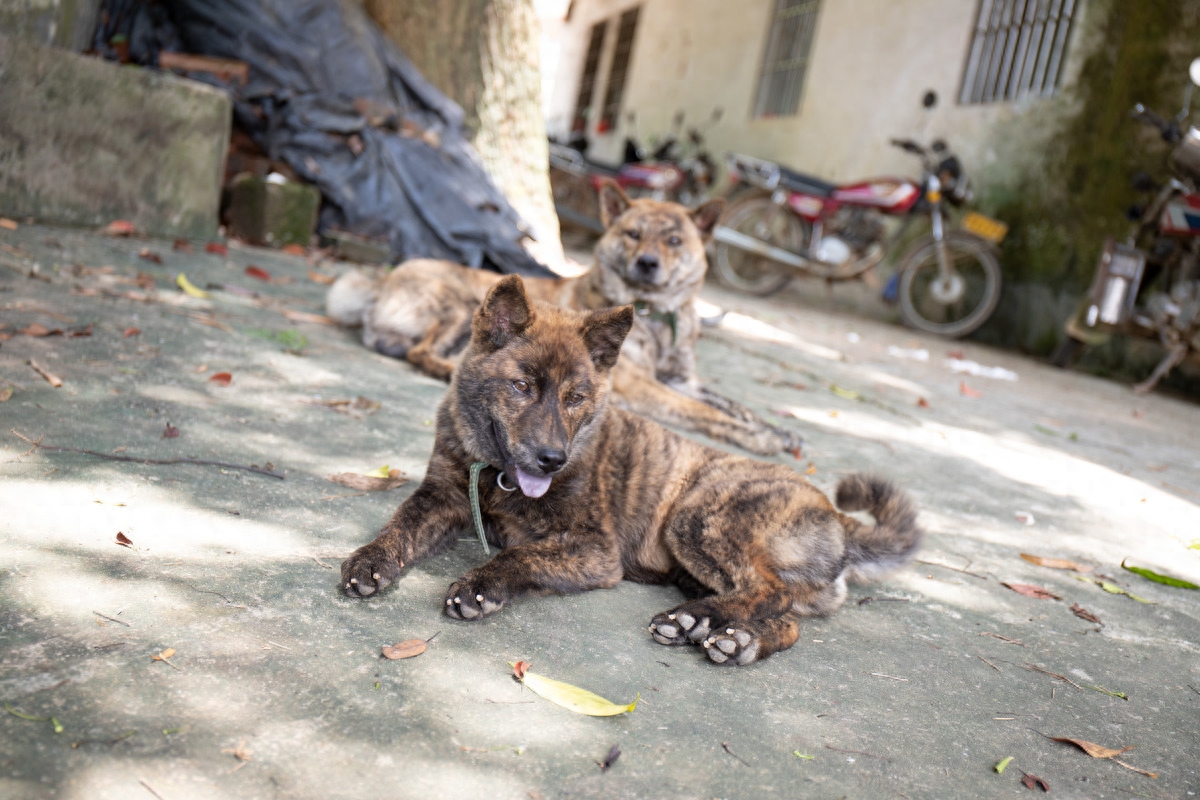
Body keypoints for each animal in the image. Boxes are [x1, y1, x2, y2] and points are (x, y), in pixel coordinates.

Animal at [343, 278, 921, 666]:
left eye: (576, 398)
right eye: (521, 387)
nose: (552, 459)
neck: (495, 472)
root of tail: (836, 516)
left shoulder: (595, 551)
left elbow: (518, 554)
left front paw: (481, 584)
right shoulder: (441, 495)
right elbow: (399, 524)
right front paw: (370, 560)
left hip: (698, 517)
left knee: (769, 592)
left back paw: (701, 620)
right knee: (783, 620)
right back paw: (733, 638)